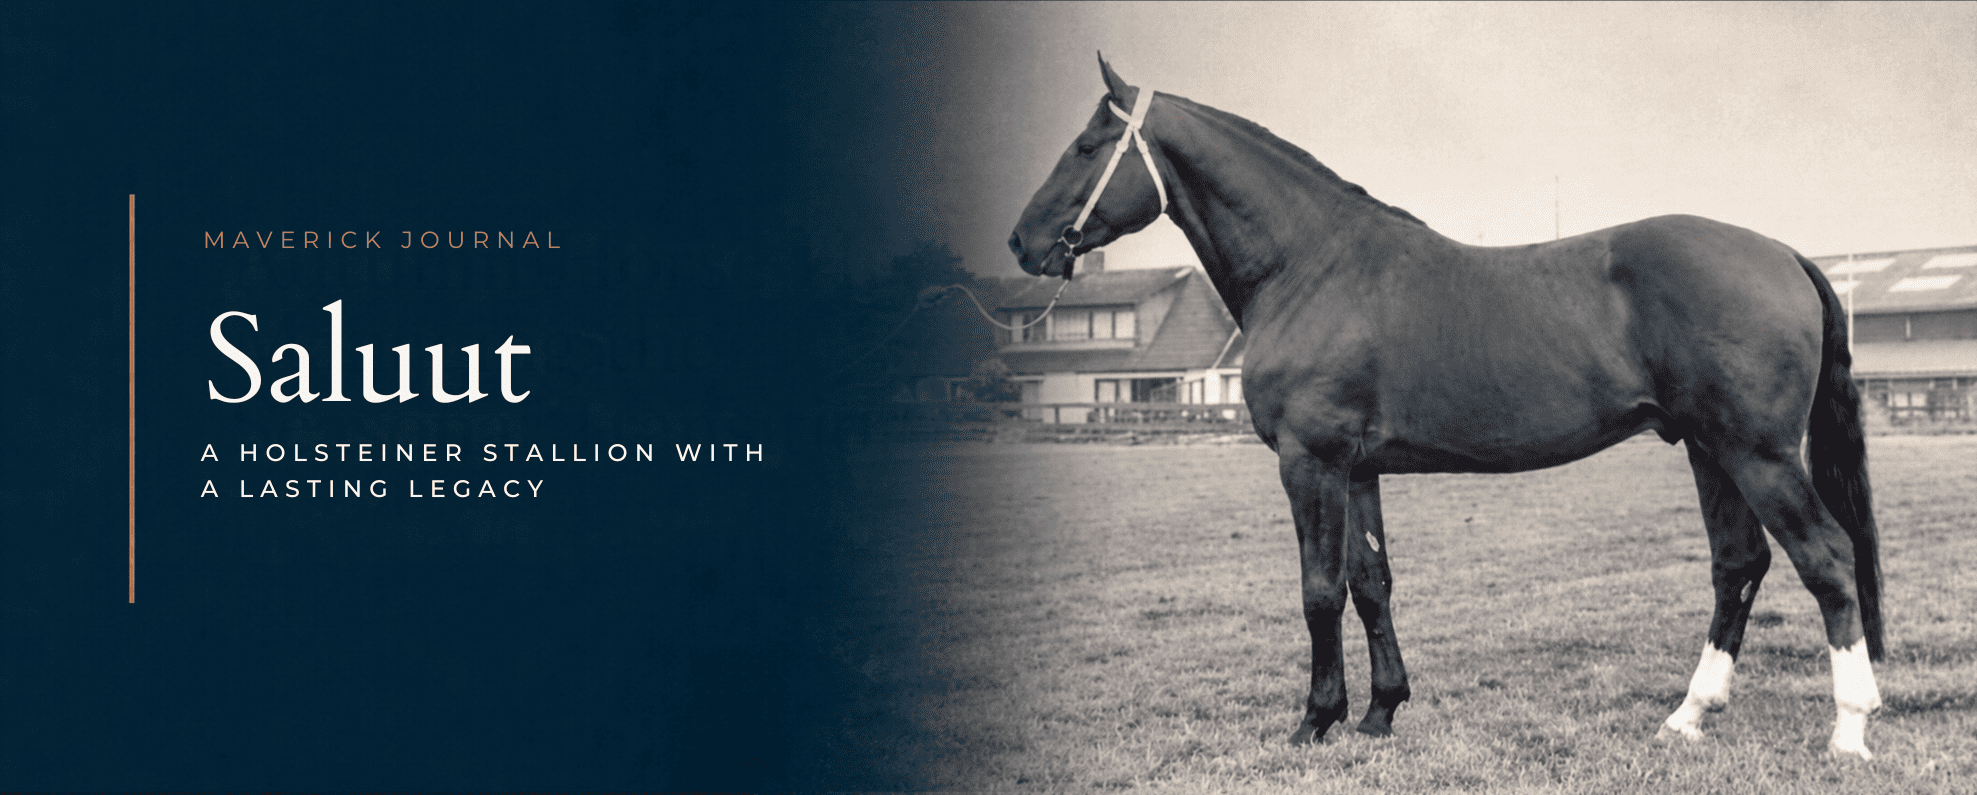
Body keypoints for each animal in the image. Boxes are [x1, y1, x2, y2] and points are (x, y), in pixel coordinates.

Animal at [1008, 55, 1884, 760]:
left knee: (1826, 557)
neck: (1311, 265)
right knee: (1738, 565)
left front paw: (1314, 720)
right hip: (1709, 451)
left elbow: (1318, 588)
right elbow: (1370, 582)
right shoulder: (1356, 469)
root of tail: (1782, 254)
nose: (1023, 242)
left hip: (1755, 453)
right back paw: (1688, 716)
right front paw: (1378, 713)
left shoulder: (1308, 461)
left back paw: (1848, 728)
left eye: (1086, 147)